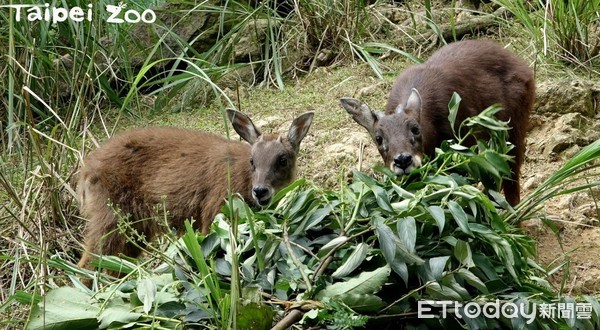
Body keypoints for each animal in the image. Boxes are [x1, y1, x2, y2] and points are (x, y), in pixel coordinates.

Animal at [76, 109, 314, 270]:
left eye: (282, 160)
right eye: (252, 160)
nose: (261, 191)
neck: (243, 179)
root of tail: (85, 171)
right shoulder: (214, 211)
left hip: (135, 229)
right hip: (111, 218)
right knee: (88, 264)